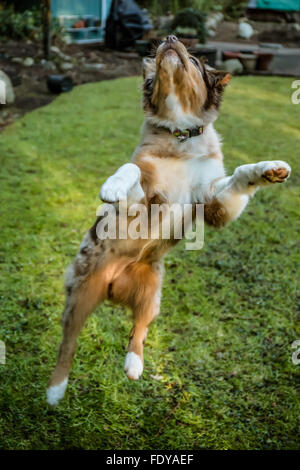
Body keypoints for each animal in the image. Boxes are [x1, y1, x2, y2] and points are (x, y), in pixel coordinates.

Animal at [47, 36, 290, 406]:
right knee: (68, 343)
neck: (181, 135)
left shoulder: (213, 204)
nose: (170, 38)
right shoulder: (145, 200)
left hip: (153, 294)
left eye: (194, 60)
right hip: (80, 293)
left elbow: (239, 176)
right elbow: (130, 170)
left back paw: (134, 364)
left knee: (139, 330)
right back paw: (55, 389)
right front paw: (112, 185)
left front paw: (269, 169)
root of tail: (113, 286)